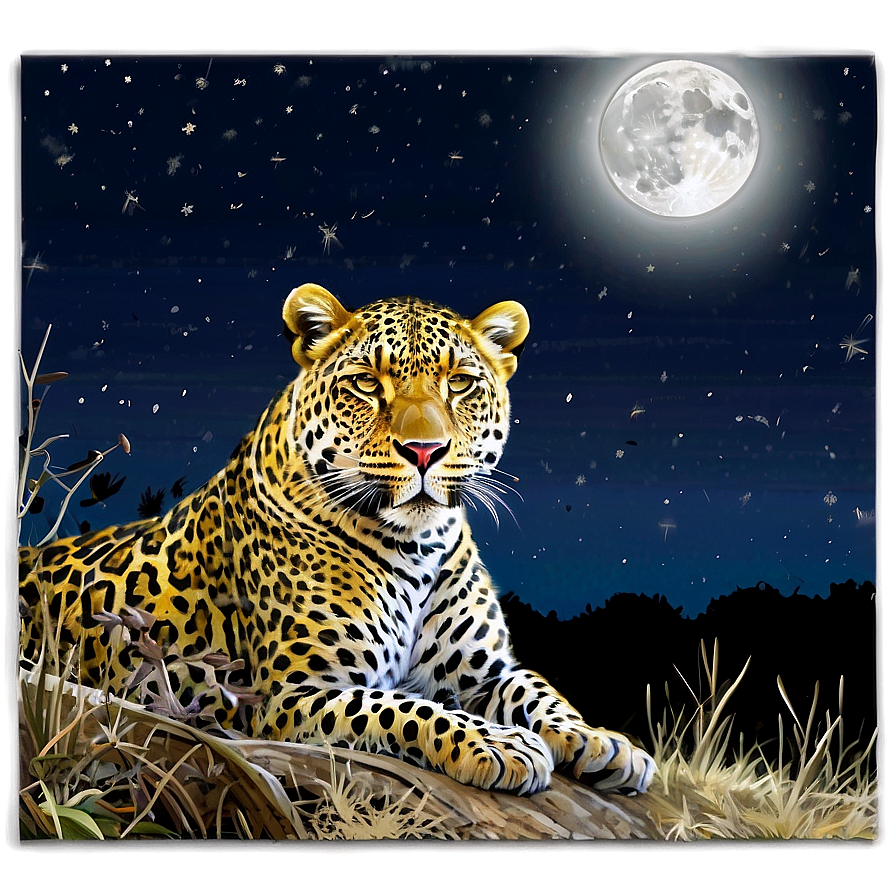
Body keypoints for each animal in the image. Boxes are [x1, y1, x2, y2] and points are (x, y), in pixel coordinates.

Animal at [19, 283, 656, 797]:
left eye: (460, 384)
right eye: (367, 384)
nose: (424, 451)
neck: (418, 545)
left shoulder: (486, 669)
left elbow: (540, 689)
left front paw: (603, 741)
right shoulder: (293, 694)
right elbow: (408, 708)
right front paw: (501, 745)